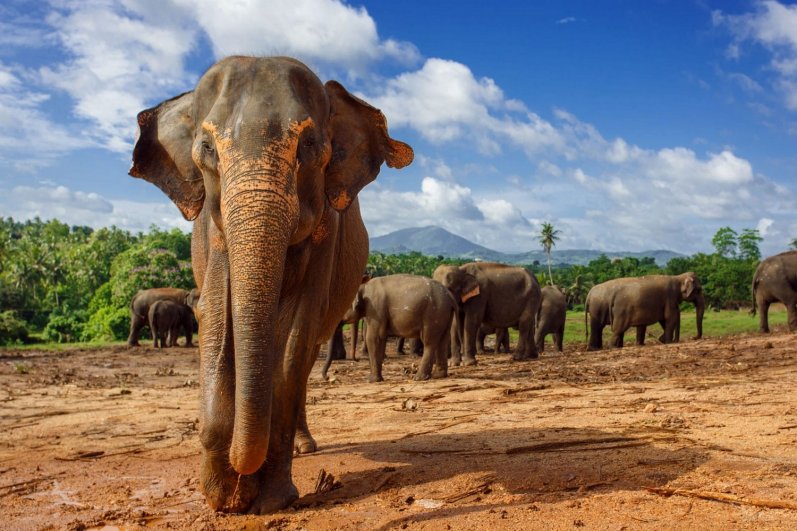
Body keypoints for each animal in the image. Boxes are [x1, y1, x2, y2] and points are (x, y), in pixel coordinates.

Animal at [129, 56, 412, 514]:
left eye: (309, 146)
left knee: (305, 355)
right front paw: (222, 496)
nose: (240, 485)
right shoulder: (212, 230)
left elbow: (294, 337)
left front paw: (271, 499)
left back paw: (303, 447)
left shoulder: (327, 233)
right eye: (207, 148)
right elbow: (215, 315)